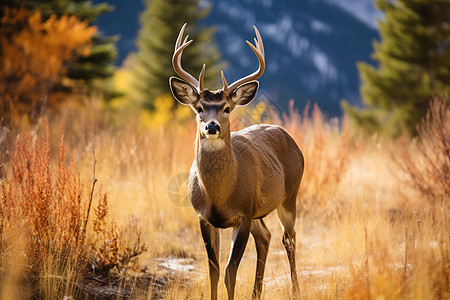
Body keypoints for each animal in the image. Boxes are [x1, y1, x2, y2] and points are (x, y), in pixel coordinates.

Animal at [170, 24, 306, 300]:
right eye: (199, 108)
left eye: (226, 108)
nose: (211, 127)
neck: (219, 195)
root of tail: (289, 136)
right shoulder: (203, 217)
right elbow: (213, 269)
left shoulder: (243, 213)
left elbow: (229, 271)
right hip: (258, 212)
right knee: (265, 237)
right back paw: (257, 294)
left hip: (289, 196)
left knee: (289, 238)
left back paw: (296, 290)